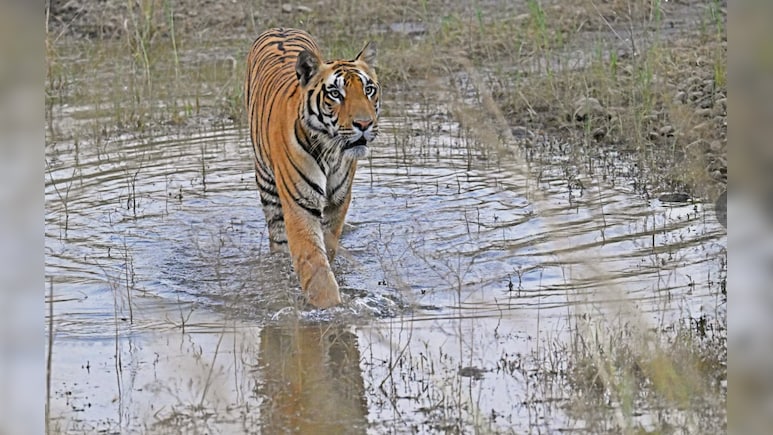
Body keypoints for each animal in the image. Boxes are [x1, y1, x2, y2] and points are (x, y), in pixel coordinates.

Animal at [244, 28, 380, 308]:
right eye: (336, 94)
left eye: (369, 89)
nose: (364, 124)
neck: (332, 153)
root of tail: (280, 28)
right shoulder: (300, 207)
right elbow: (316, 268)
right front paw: (332, 310)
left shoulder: (337, 203)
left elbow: (328, 248)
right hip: (267, 186)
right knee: (278, 240)